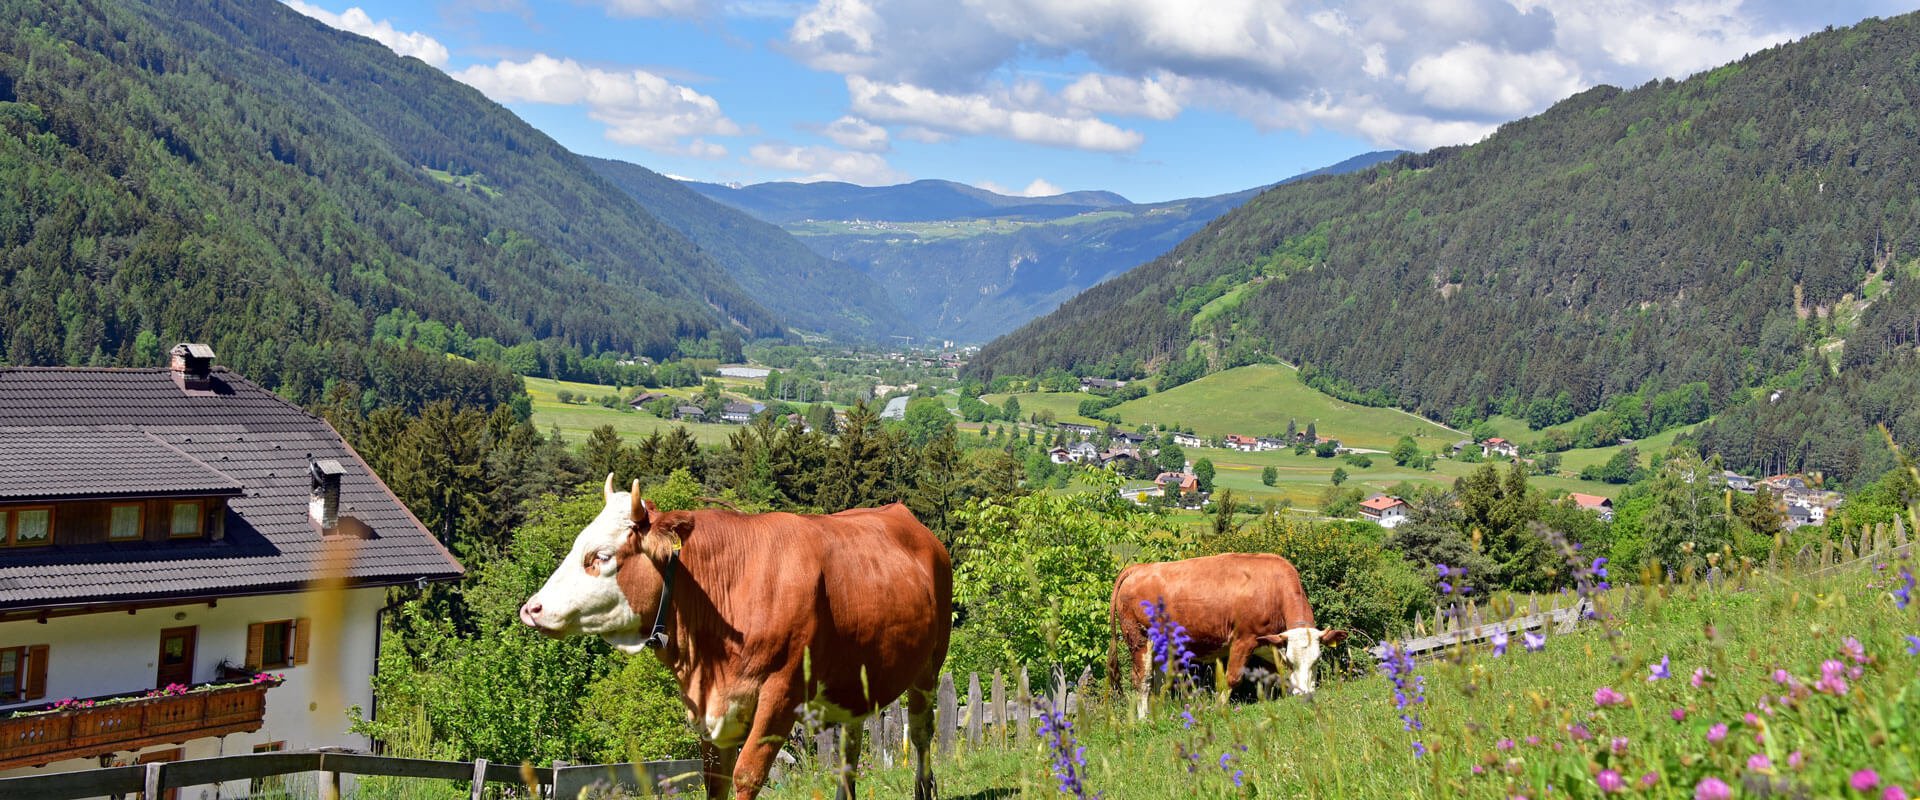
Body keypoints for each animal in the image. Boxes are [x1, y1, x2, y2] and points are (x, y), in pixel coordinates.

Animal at [518, 477, 952, 794]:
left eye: (601, 556)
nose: (531, 609)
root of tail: (905, 516)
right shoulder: (709, 705)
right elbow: (715, 780)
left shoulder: (781, 694)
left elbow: (747, 775)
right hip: (855, 685)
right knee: (850, 752)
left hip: (929, 669)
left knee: (920, 735)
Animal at [1113, 552, 1351, 713]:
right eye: (1290, 661)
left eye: (1317, 660)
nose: (1305, 695)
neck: (1273, 589)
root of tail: (1139, 568)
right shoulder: (1243, 639)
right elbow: (1232, 679)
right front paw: (1219, 709)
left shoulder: (1270, 644)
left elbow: (1268, 680)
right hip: (1138, 638)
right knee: (1142, 679)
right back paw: (1144, 718)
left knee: (1159, 680)